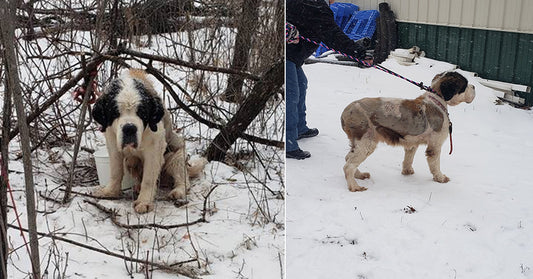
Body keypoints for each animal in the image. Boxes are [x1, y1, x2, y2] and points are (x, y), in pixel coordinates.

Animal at [91, 69, 208, 213]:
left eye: (141, 112)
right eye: (115, 112)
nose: (129, 128)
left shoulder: (154, 149)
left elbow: (148, 178)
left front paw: (144, 202)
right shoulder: (113, 144)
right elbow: (115, 171)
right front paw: (110, 192)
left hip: (177, 156)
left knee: (182, 178)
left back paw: (177, 191)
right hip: (132, 162)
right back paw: (137, 187)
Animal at [340, 71, 474, 191]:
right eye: (465, 85)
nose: (474, 87)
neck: (437, 101)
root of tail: (346, 111)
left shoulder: (412, 142)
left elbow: (409, 157)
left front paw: (407, 171)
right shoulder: (435, 145)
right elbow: (435, 165)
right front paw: (440, 178)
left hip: (358, 143)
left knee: (348, 158)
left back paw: (360, 175)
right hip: (366, 142)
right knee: (348, 166)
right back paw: (355, 187)